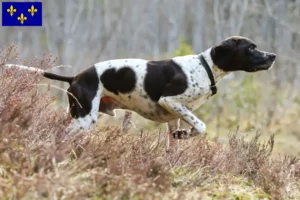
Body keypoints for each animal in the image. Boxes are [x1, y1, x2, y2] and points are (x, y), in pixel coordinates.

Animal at [4, 36, 276, 147]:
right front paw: (188, 134)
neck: (204, 66)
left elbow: (175, 141)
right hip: (84, 120)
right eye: (251, 48)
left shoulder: (174, 116)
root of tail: (77, 76)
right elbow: (201, 126)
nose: (272, 55)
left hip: (80, 117)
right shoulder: (170, 101)